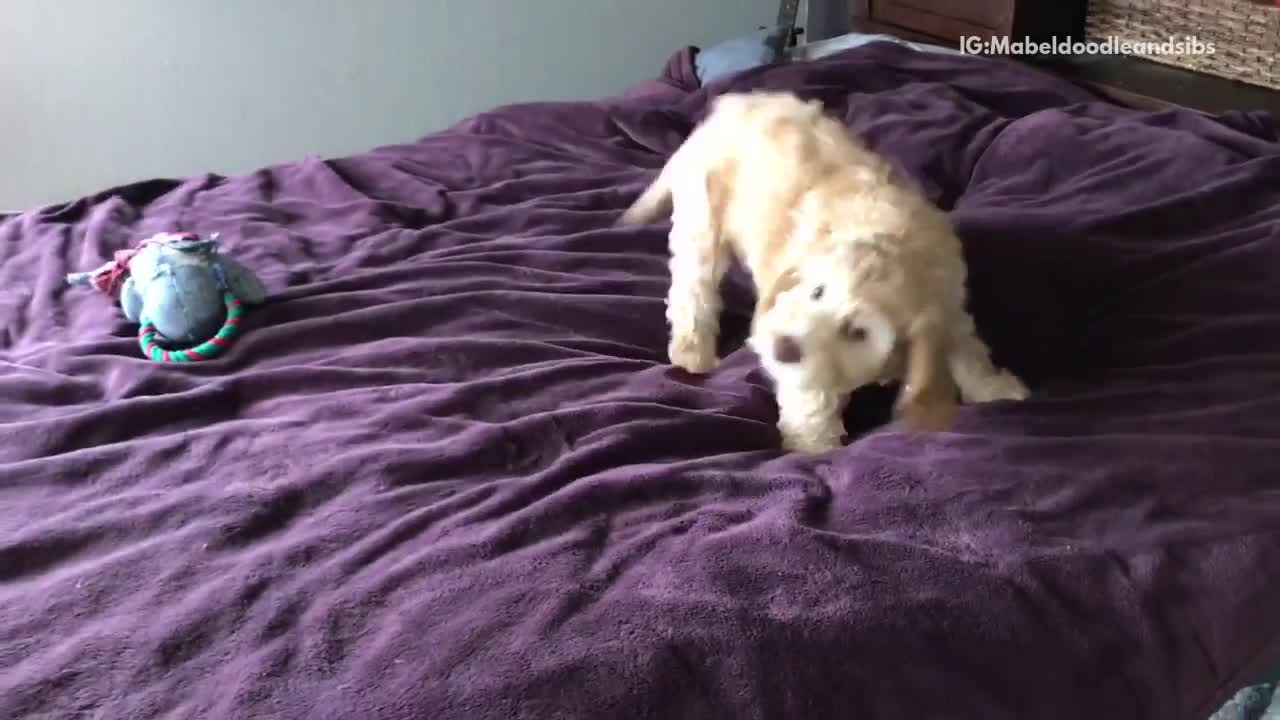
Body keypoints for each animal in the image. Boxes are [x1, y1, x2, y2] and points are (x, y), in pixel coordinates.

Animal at [619, 89, 1029, 448]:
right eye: (816, 291)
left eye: (857, 332)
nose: (782, 347)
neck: (900, 251)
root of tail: (726, 110)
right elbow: (809, 395)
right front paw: (812, 446)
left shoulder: (950, 302)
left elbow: (968, 348)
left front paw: (995, 388)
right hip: (702, 218)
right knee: (693, 287)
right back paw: (693, 351)